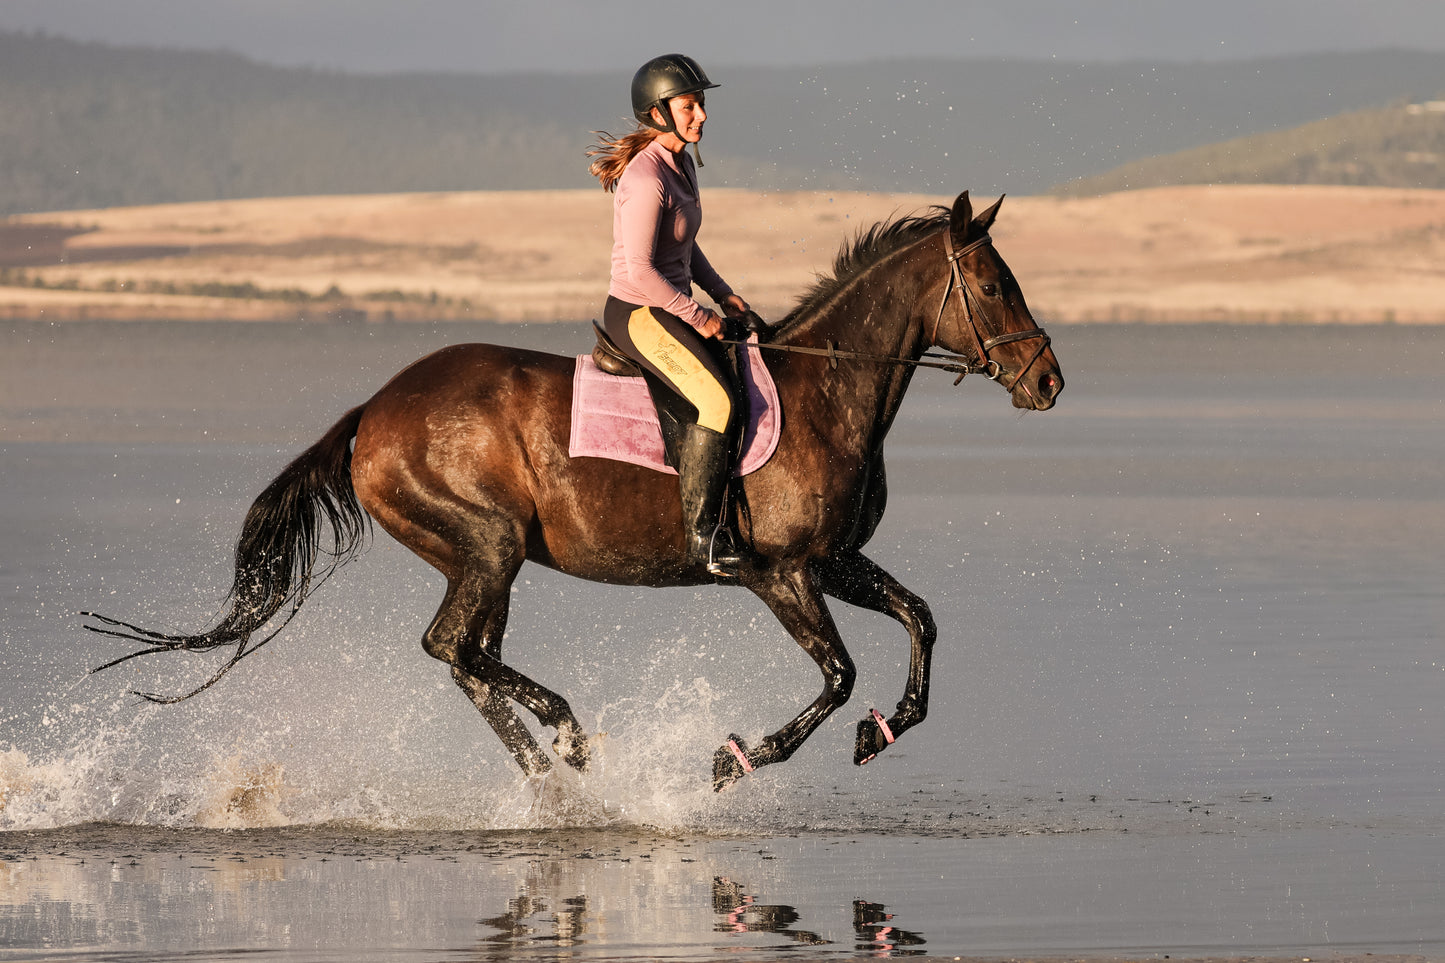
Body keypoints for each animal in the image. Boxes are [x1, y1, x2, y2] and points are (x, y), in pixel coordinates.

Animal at [87, 189, 1063, 786]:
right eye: (990, 284)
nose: (1048, 382)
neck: (827, 388)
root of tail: (375, 408)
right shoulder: (777, 570)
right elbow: (835, 671)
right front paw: (737, 757)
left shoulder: (834, 560)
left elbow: (919, 619)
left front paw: (884, 727)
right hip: (487, 543)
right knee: (452, 646)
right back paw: (564, 736)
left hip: (486, 559)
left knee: (465, 657)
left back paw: (549, 771)